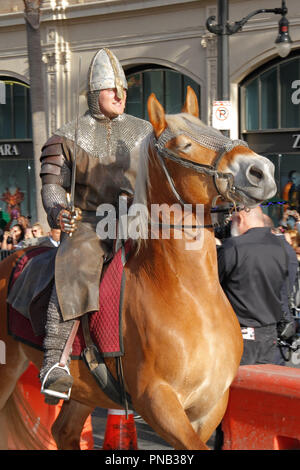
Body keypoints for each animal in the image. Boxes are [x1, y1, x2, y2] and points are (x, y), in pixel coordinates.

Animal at [0, 88, 276, 452]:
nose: (261, 170)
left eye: (214, 129)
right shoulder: (158, 402)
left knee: (64, 431)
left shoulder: (209, 407)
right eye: (183, 145)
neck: (189, 294)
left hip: (85, 392)